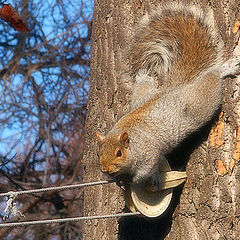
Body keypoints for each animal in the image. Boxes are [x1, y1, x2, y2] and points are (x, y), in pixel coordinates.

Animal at [96, 2, 240, 184]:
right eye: (99, 153)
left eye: (119, 153)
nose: (105, 170)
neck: (133, 144)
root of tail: (173, 88)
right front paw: (117, 180)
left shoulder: (149, 152)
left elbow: (145, 171)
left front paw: (132, 180)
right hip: (142, 96)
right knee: (144, 84)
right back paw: (143, 75)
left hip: (201, 102)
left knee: (212, 79)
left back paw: (224, 69)